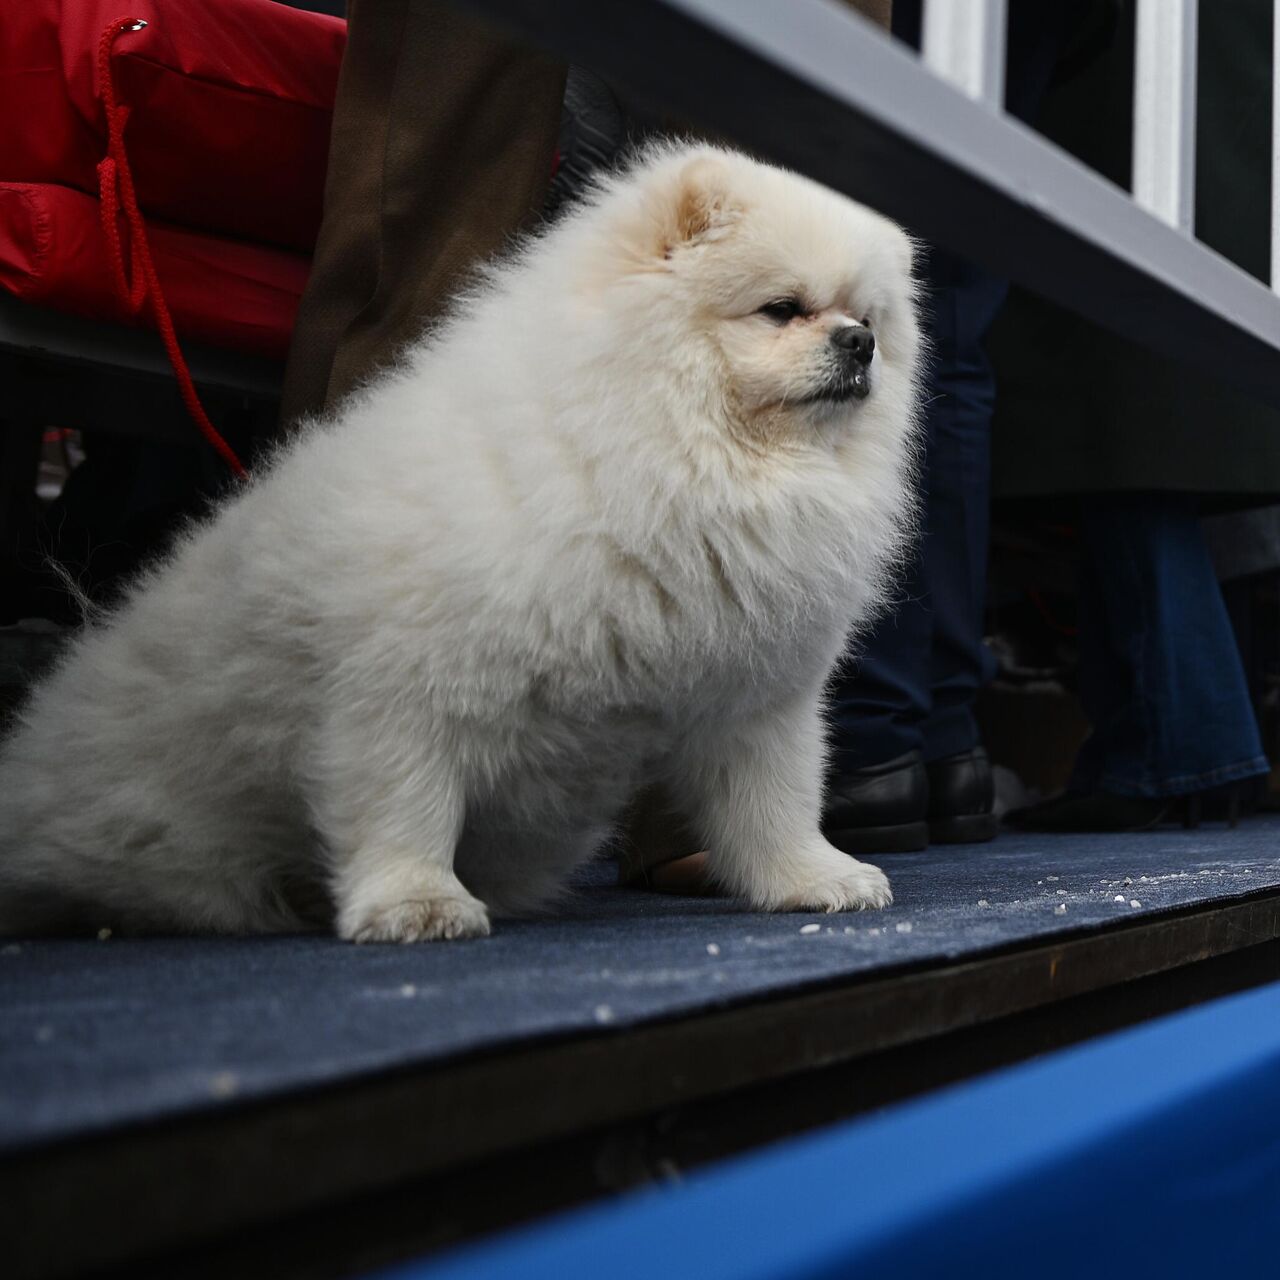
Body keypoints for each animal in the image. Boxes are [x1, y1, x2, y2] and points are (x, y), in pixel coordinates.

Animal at [0, 147, 921, 942]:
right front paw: (416, 903)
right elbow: (406, 805)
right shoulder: (403, 687)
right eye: (782, 308)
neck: (668, 447)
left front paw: (814, 879)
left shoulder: (756, 694)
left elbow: (775, 805)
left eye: (866, 316)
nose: (858, 343)